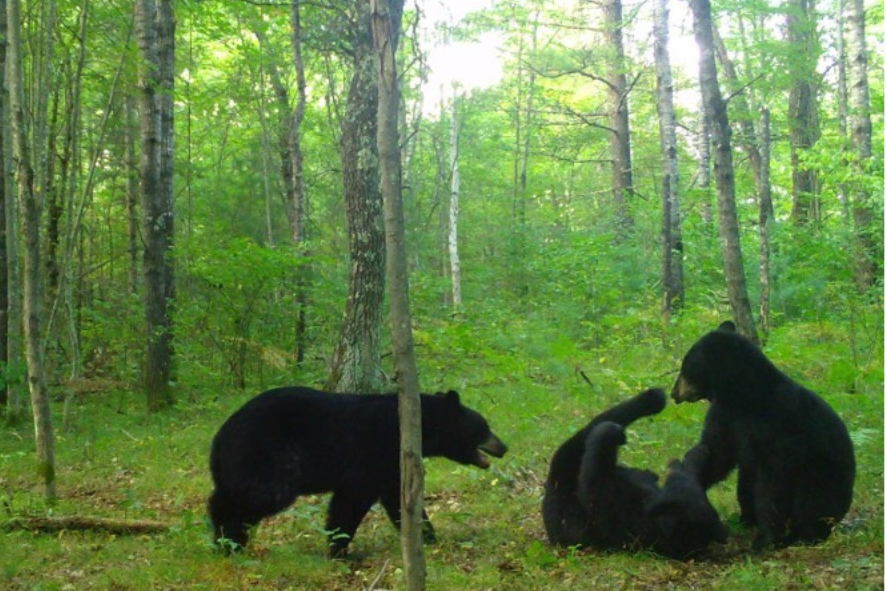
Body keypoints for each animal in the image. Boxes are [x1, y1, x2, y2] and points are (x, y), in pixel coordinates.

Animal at [209, 386, 510, 556]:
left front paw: (428, 536)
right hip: (268, 455)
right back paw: (229, 541)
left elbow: (397, 500)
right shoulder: (373, 451)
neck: (414, 428)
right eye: (484, 427)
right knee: (253, 496)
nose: (504, 447)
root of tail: (221, 436)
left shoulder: (391, 465)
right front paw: (339, 549)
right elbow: (351, 499)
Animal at [672, 324, 860, 552]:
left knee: (812, 498)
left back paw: (804, 533)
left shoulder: (781, 419)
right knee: (745, 483)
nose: (674, 393)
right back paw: (745, 519)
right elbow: (716, 452)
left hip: (827, 477)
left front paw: (766, 538)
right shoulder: (724, 415)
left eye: (685, 367)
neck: (744, 399)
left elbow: (774, 477)